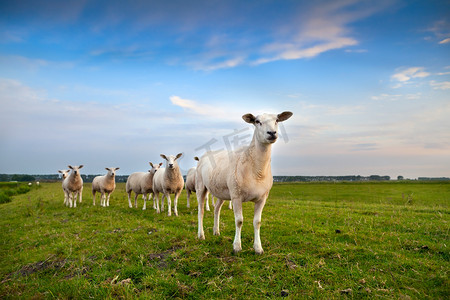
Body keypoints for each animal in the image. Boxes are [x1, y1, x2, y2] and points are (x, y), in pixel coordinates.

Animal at [195, 111, 294, 254]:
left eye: (276, 120)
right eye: (257, 121)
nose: (272, 133)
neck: (257, 171)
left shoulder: (262, 198)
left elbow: (257, 222)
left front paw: (258, 248)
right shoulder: (236, 196)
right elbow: (239, 221)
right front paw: (237, 246)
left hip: (221, 191)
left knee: (216, 209)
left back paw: (216, 231)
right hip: (200, 186)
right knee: (201, 211)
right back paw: (201, 235)